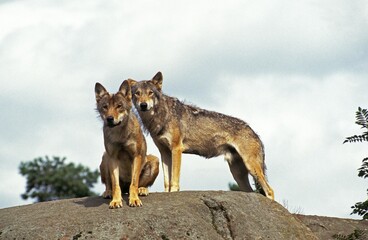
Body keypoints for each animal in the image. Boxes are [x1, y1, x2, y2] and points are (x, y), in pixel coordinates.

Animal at [95, 80, 159, 208]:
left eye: (119, 106)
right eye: (105, 107)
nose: (109, 118)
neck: (120, 134)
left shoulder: (136, 156)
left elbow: (134, 183)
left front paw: (134, 200)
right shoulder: (112, 157)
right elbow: (115, 185)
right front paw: (115, 201)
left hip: (155, 160)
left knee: (138, 184)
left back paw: (142, 190)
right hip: (105, 157)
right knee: (109, 184)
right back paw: (108, 192)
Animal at [128, 72, 274, 200]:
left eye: (150, 93)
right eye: (137, 93)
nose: (143, 105)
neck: (160, 117)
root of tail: (254, 132)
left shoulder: (176, 149)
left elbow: (174, 179)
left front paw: (174, 192)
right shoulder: (164, 152)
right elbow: (166, 180)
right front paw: (166, 193)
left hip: (251, 167)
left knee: (270, 191)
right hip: (238, 174)